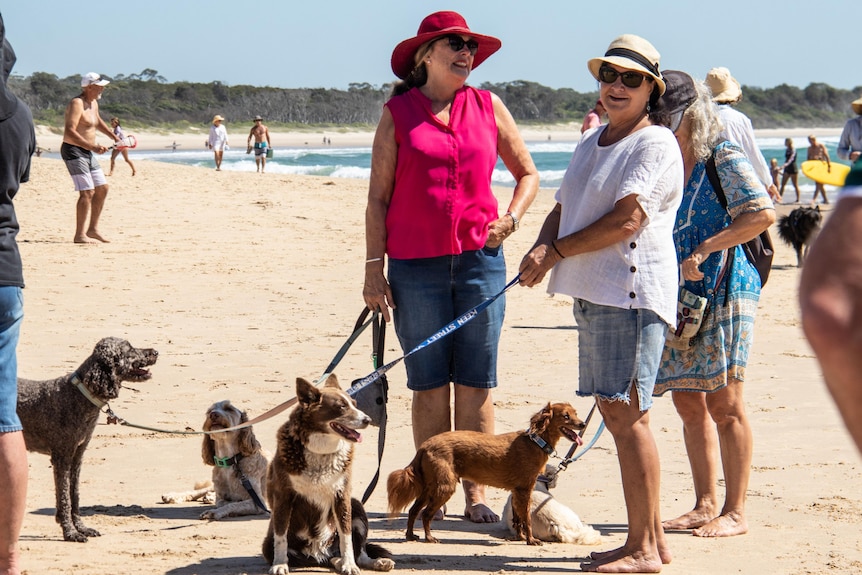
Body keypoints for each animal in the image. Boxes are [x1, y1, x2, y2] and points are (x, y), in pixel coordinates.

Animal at [16, 336, 159, 544]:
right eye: (129, 349)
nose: (156, 352)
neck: (80, 394)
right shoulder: (62, 457)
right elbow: (65, 498)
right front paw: (70, 532)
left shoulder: (77, 456)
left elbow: (74, 496)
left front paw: (81, 528)